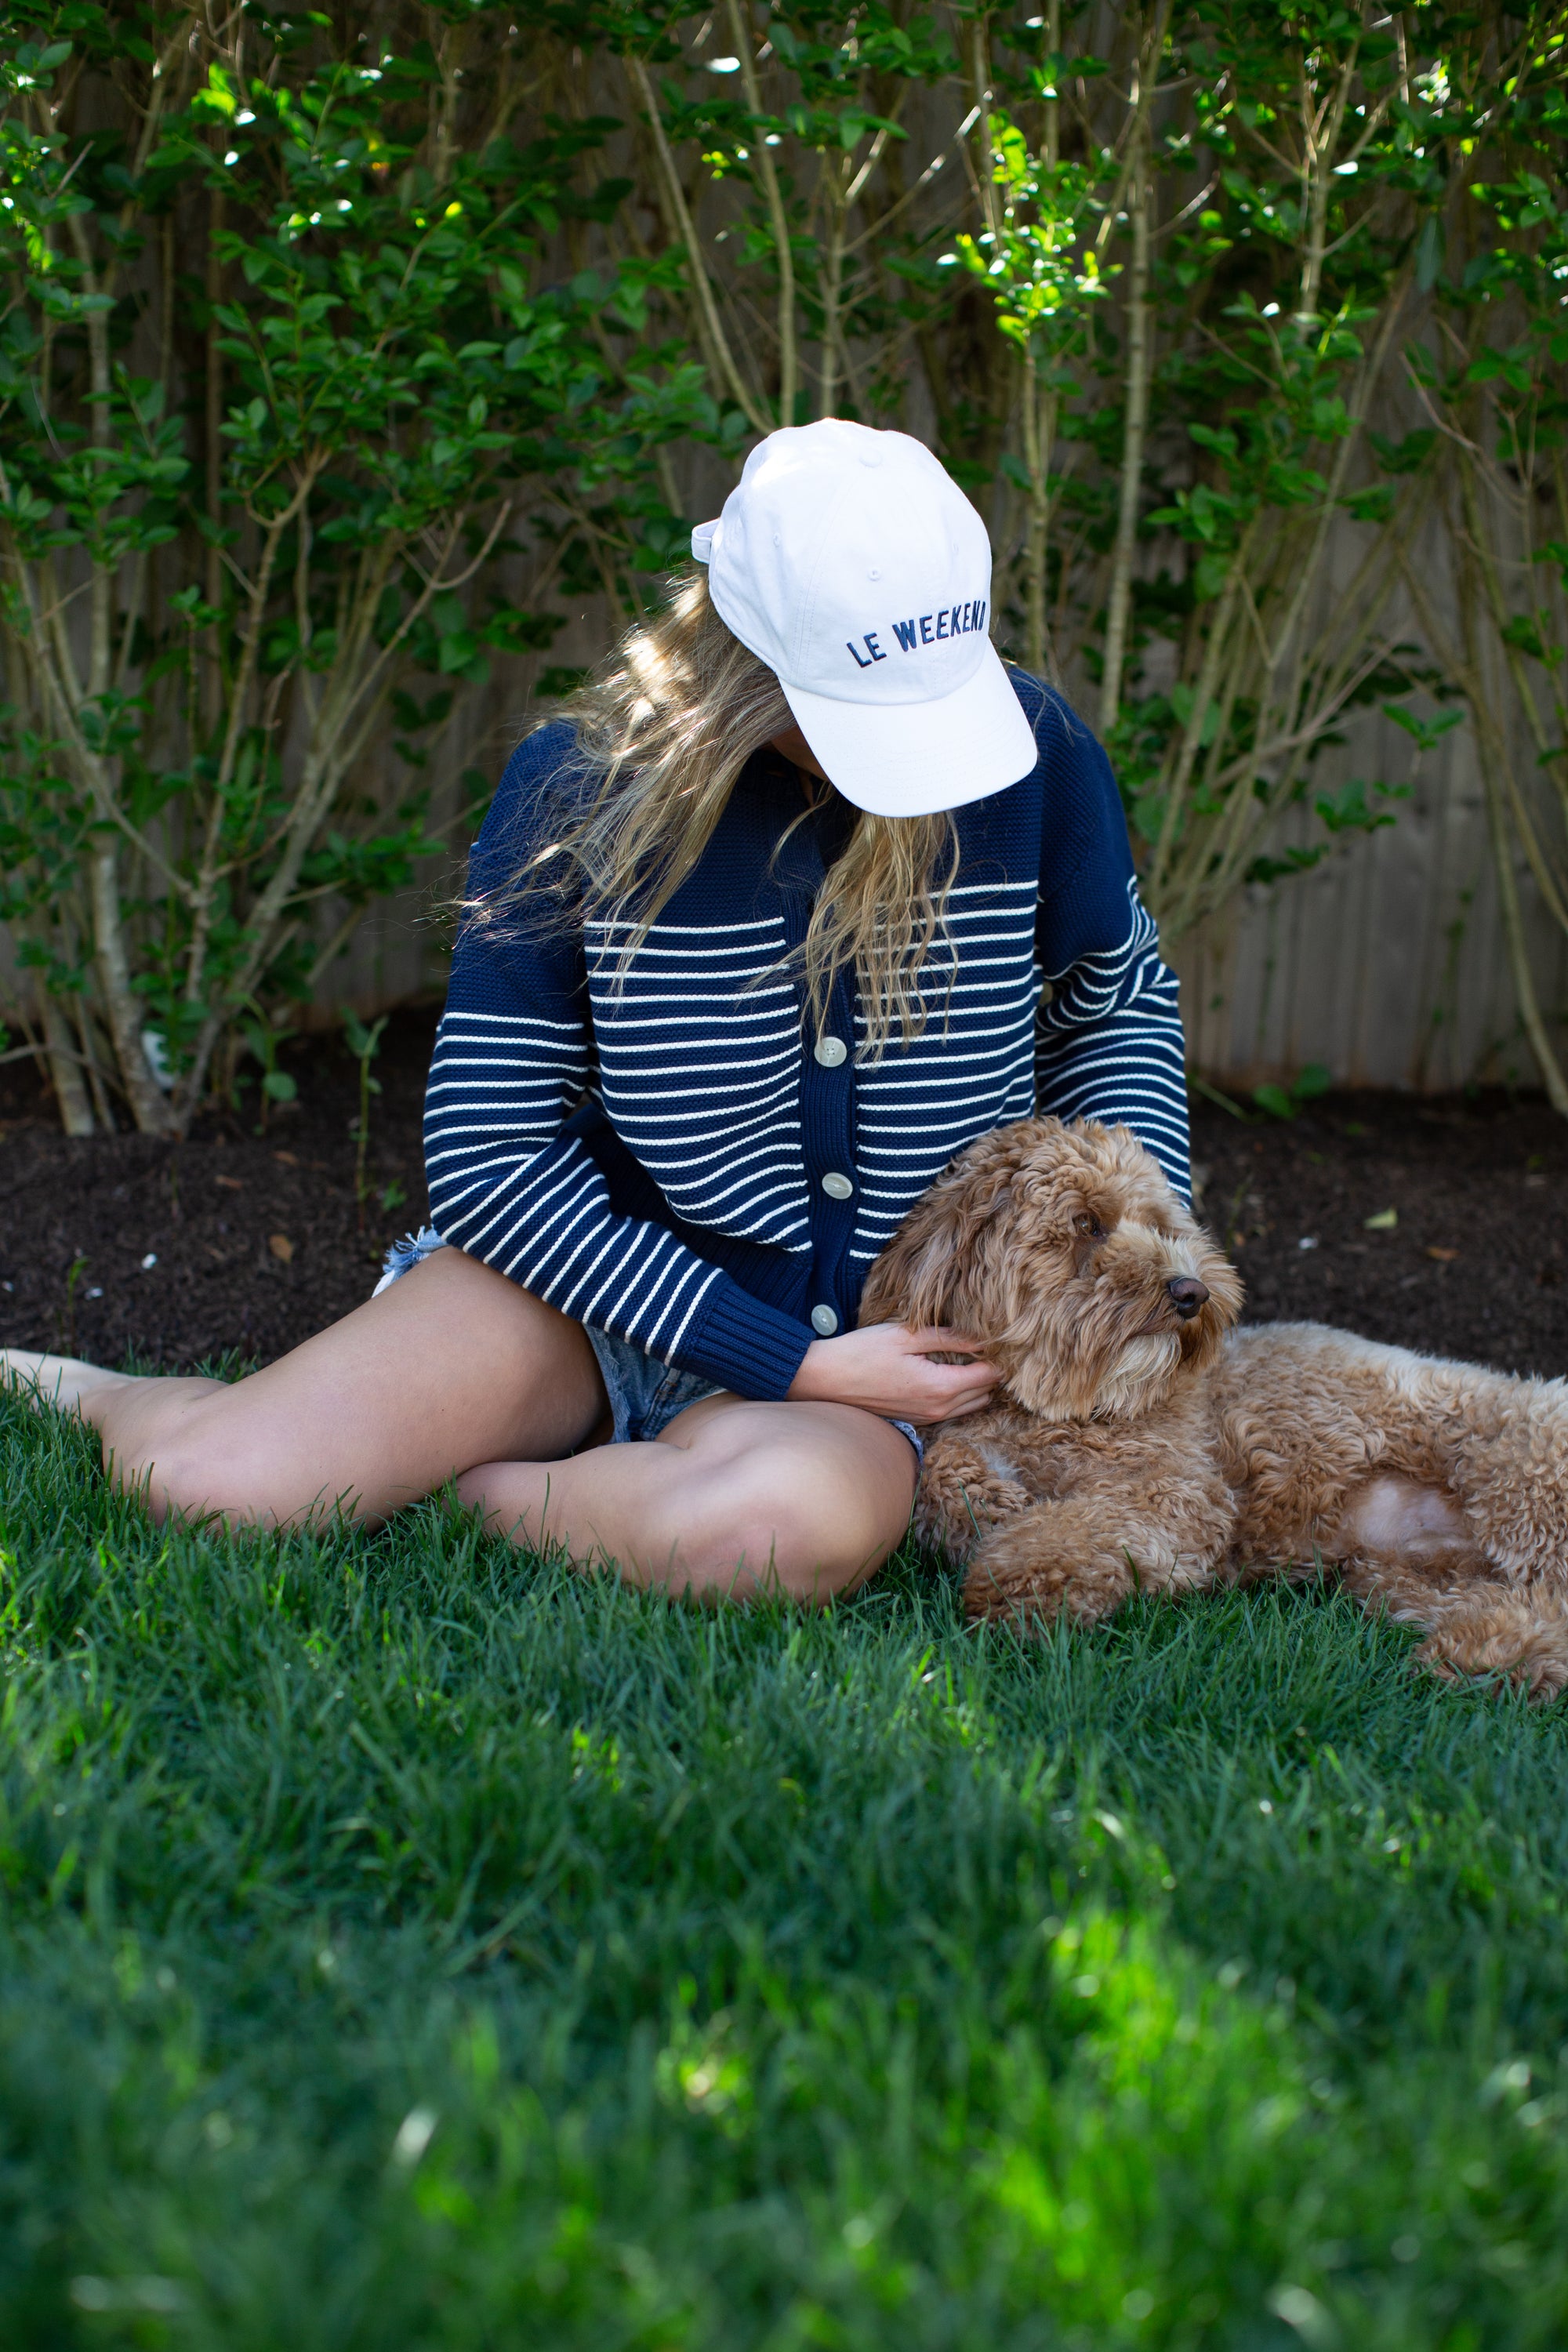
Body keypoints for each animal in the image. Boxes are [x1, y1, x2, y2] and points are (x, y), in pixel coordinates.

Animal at [865, 1110, 1568, 1703]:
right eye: (1087, 1224)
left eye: (1159, 1224)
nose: (1191, 1292)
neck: (1052, 1413)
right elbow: (941, 1474)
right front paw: (987, 1501)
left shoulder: (1174, 1491)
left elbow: (1080, 1527)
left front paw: (1018, 1581)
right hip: (1396, 1578)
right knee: (1524, 1612)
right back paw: (1490, 1654)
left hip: (1518, 1483)